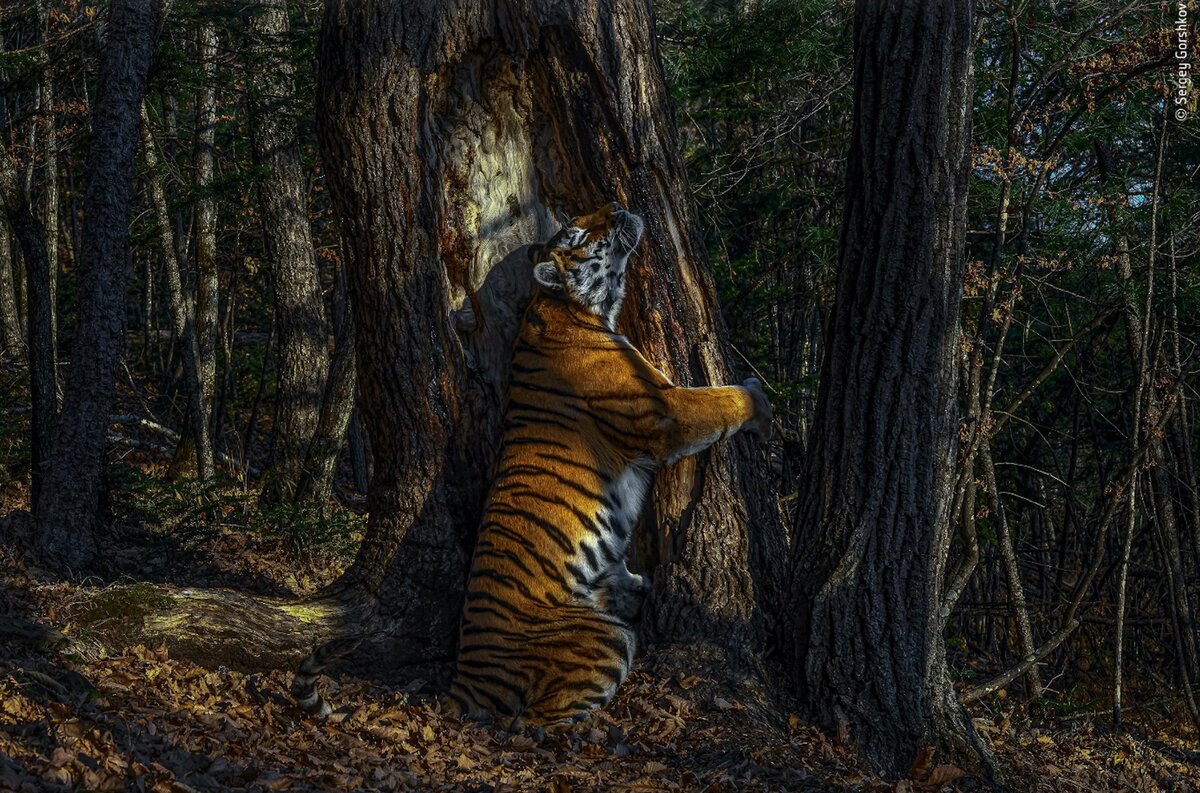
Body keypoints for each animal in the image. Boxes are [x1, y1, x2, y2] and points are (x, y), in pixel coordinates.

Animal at [291, 202, 773, 728]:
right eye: (581, 233)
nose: (617, 205)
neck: (571, 307)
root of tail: (462, 683)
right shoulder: (663, 411)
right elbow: (718, 401)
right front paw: (760, 399)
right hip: (603, 638)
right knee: (538, 722)